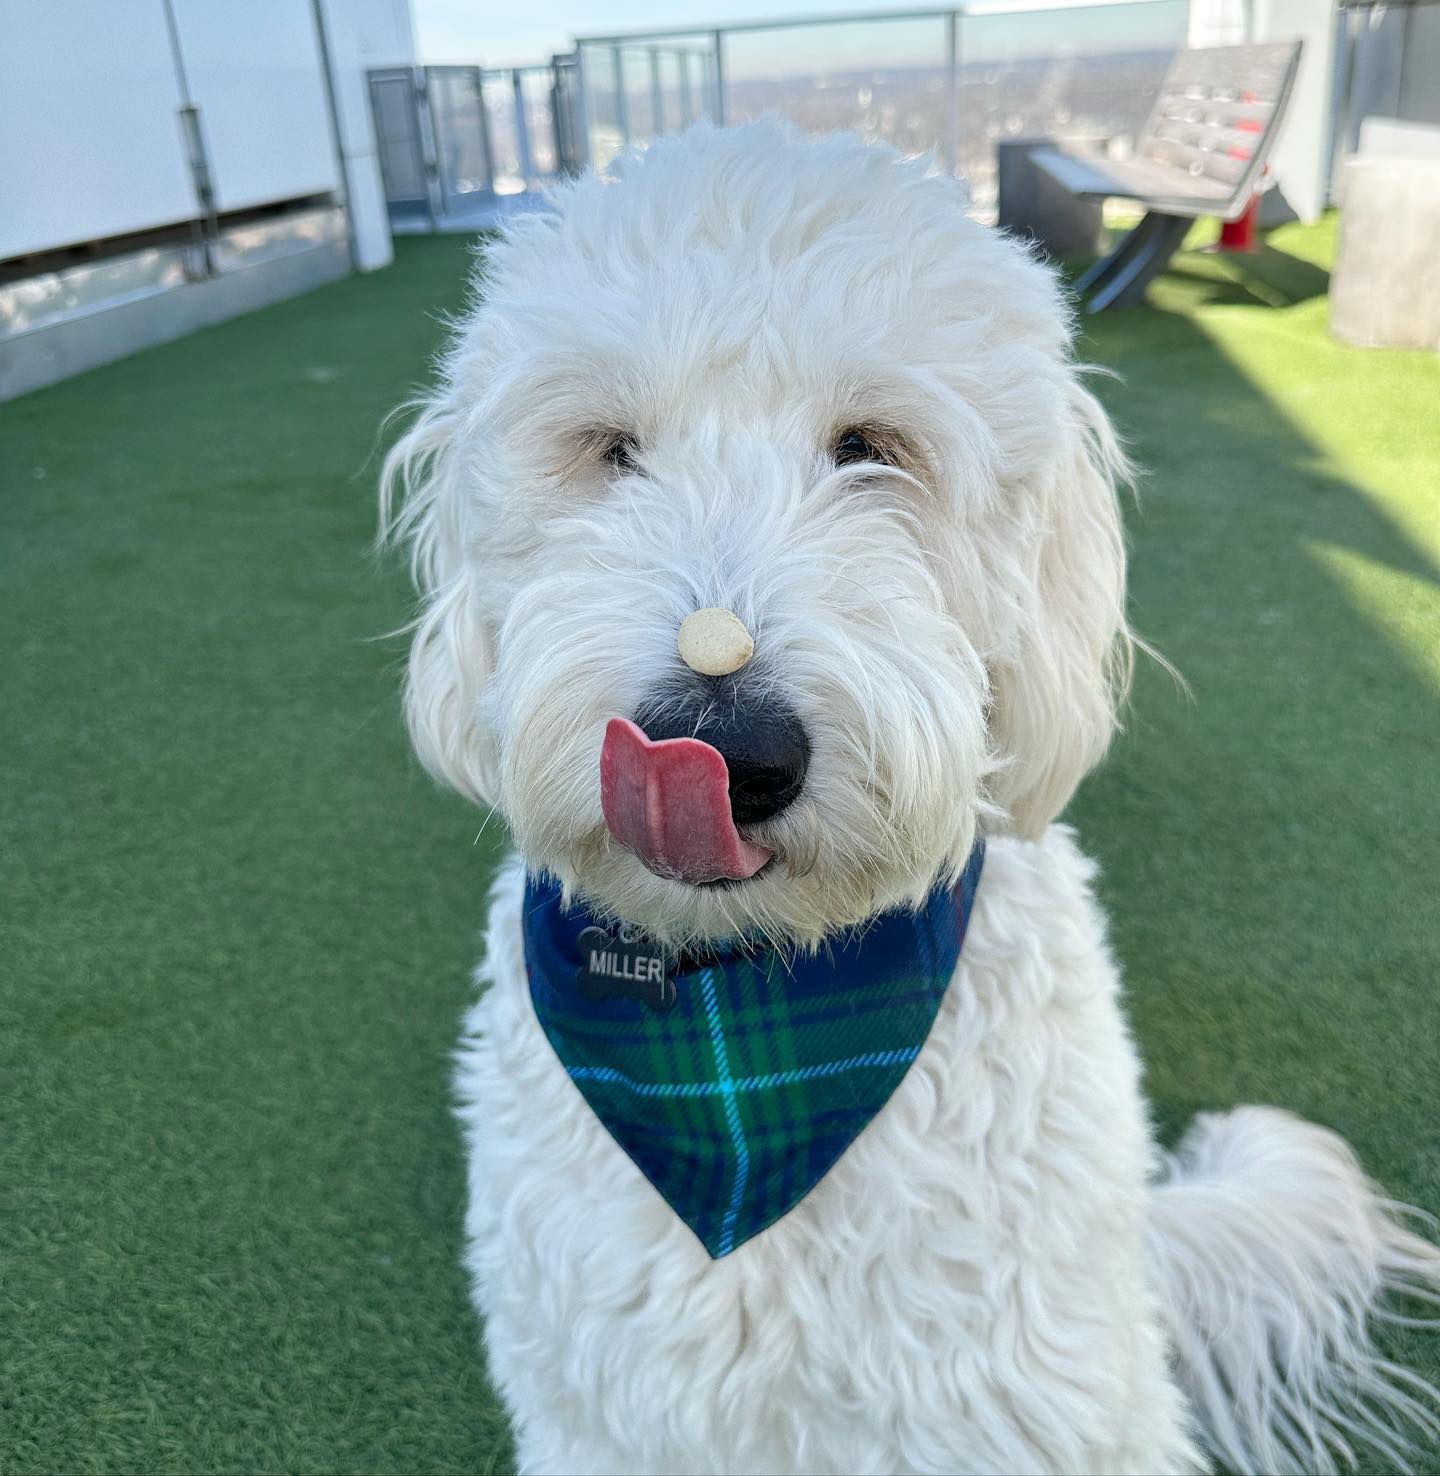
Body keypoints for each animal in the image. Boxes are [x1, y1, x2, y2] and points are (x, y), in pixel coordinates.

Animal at [383, 121, 1440, 1470]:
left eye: (873, 450)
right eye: (613, 452)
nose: (725, 744)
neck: (746, 1036)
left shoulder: (1002, 1400)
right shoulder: (598, 1405)